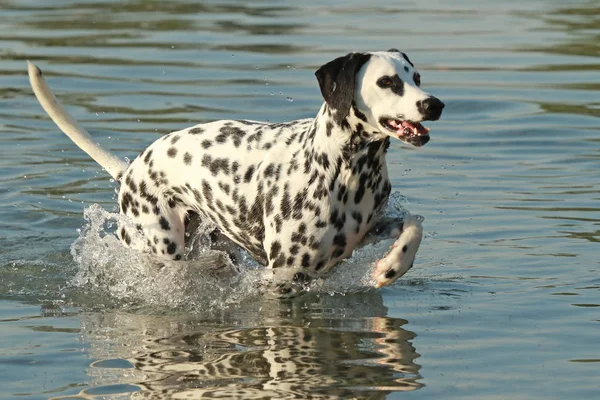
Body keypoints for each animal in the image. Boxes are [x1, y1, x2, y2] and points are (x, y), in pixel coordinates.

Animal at [28, 49, 442, 294]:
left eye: (417, 78)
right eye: (387, 81)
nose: (434, 104)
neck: (343, 171)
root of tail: (132, 168)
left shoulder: (365, 230)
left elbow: (413, 224)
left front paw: (392, 266)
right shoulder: (282, 277)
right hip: (161, 248)